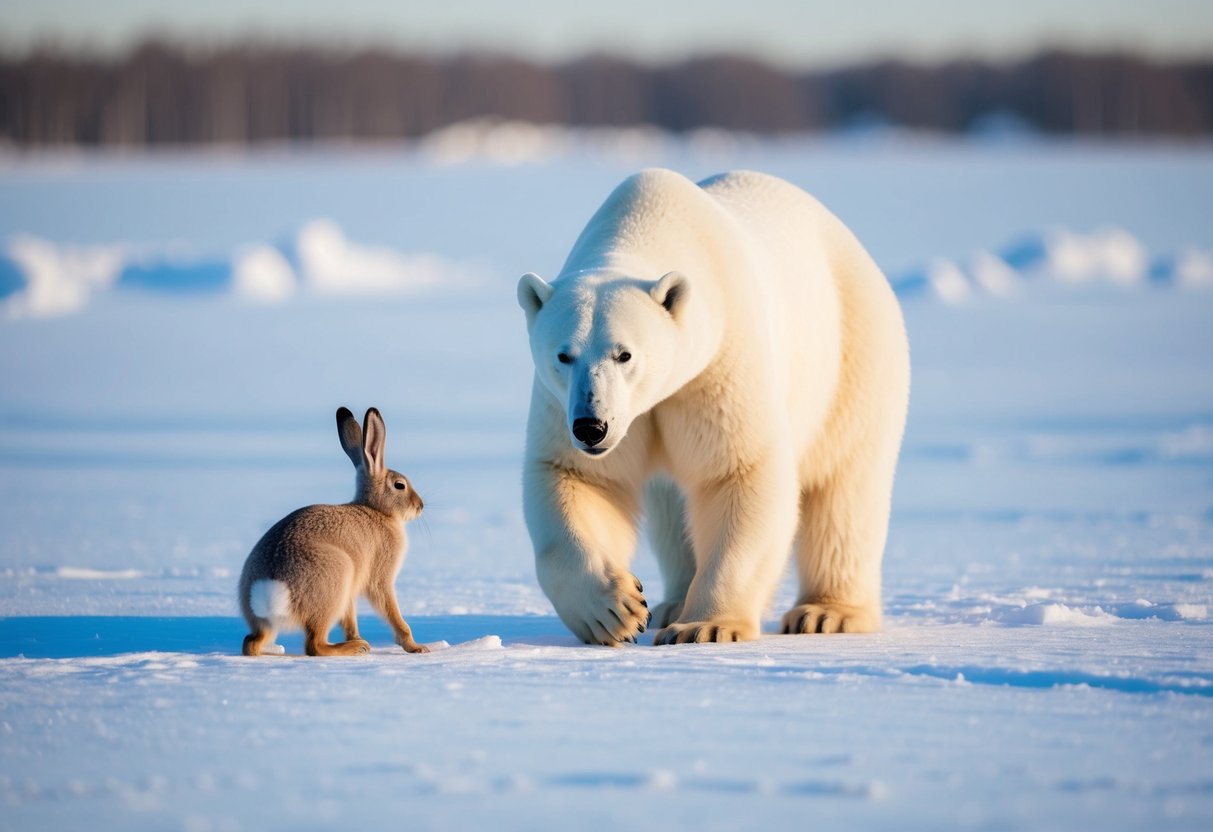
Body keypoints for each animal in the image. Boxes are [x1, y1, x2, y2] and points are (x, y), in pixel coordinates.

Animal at [238, 406, 430, 657]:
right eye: (400, 485)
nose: (420, 505)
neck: (377, 510)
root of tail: (268, 592)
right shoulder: (380, 577)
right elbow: (391, 612)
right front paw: (417, 647)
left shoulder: (350, 595)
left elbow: (350, 620)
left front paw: (358, 637)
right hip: (335, 580)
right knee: (314, 645)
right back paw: (356, 648)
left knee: (251, 643)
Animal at [516, 168, 909, 646]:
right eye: (563, 355)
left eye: (624, 354)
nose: (592, 427)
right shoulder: (569, 404)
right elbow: (578, 477)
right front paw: (615, 610)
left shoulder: (719, 366)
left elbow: (739, 472)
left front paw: (706, 626)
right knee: (672, 508)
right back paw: (671, 603)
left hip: (853, 358)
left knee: (845, 489)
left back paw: (826, 613)